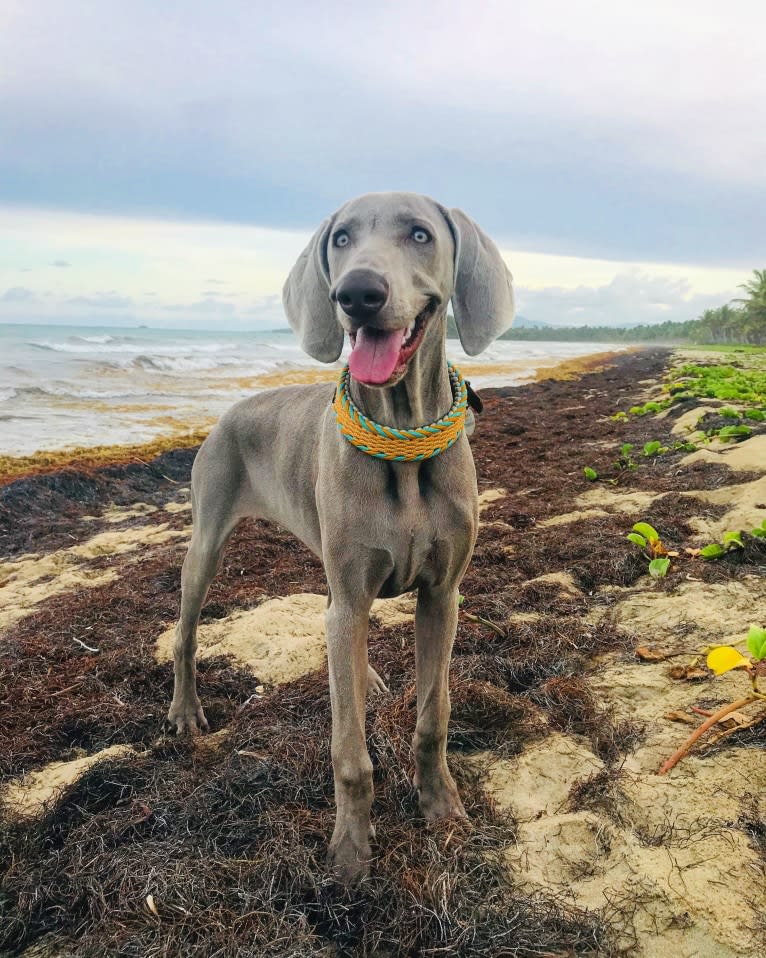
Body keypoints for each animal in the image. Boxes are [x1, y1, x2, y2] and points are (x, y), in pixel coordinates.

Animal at [168, 191, 516, 880]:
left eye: (420, 234)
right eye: (342, 238)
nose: (357, 293)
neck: (401, 439)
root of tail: (227, 412)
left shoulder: (442, 595)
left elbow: (433, 717)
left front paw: (442, 808)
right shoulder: (353, 593)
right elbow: (349, 753)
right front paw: (352, 850)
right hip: (208, 538)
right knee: (188, 631)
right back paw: (186, 712)